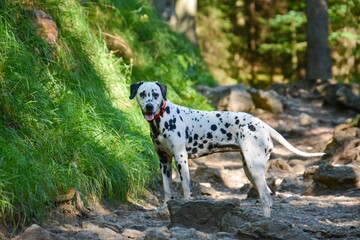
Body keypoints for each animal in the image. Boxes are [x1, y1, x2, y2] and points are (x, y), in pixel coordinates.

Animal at [129, 81, 324, 218]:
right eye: (143, 94)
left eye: (155, 94)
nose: (149, 106)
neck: (162, 119)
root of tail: (262, 124)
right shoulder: (164, 161)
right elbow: (167, 189)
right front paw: (163, 209)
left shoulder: (181, 158)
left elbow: (185, 188)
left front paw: (182, 209)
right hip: (249, 170)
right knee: (267, 195)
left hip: (254, 168)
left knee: (266, 196)